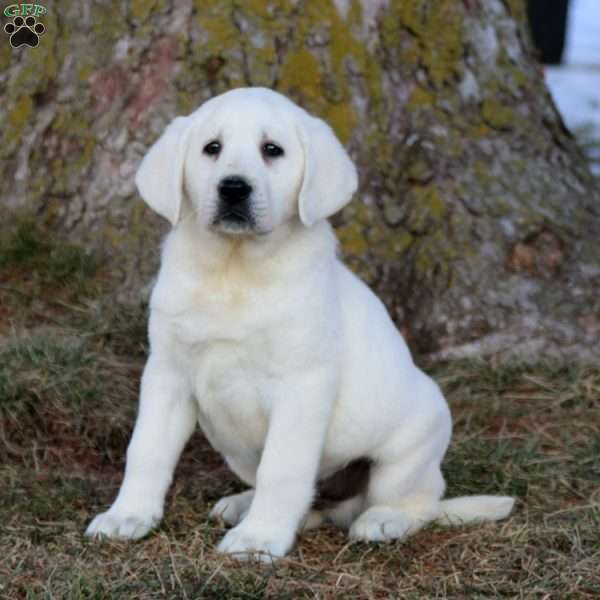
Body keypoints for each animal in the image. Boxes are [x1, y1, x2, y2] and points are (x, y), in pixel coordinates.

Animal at [85, 86, 516, 560]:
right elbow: (146, 450)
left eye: (272, 150)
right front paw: (129, 515)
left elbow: (283, 468)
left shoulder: (301, 386)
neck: (235, 270)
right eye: (211, 148)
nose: (233, 188)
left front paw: (259, 539)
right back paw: (247, 504)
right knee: (315, 503)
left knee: (417, 500)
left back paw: (383, 520)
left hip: (411, 447)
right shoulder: (167, 374)